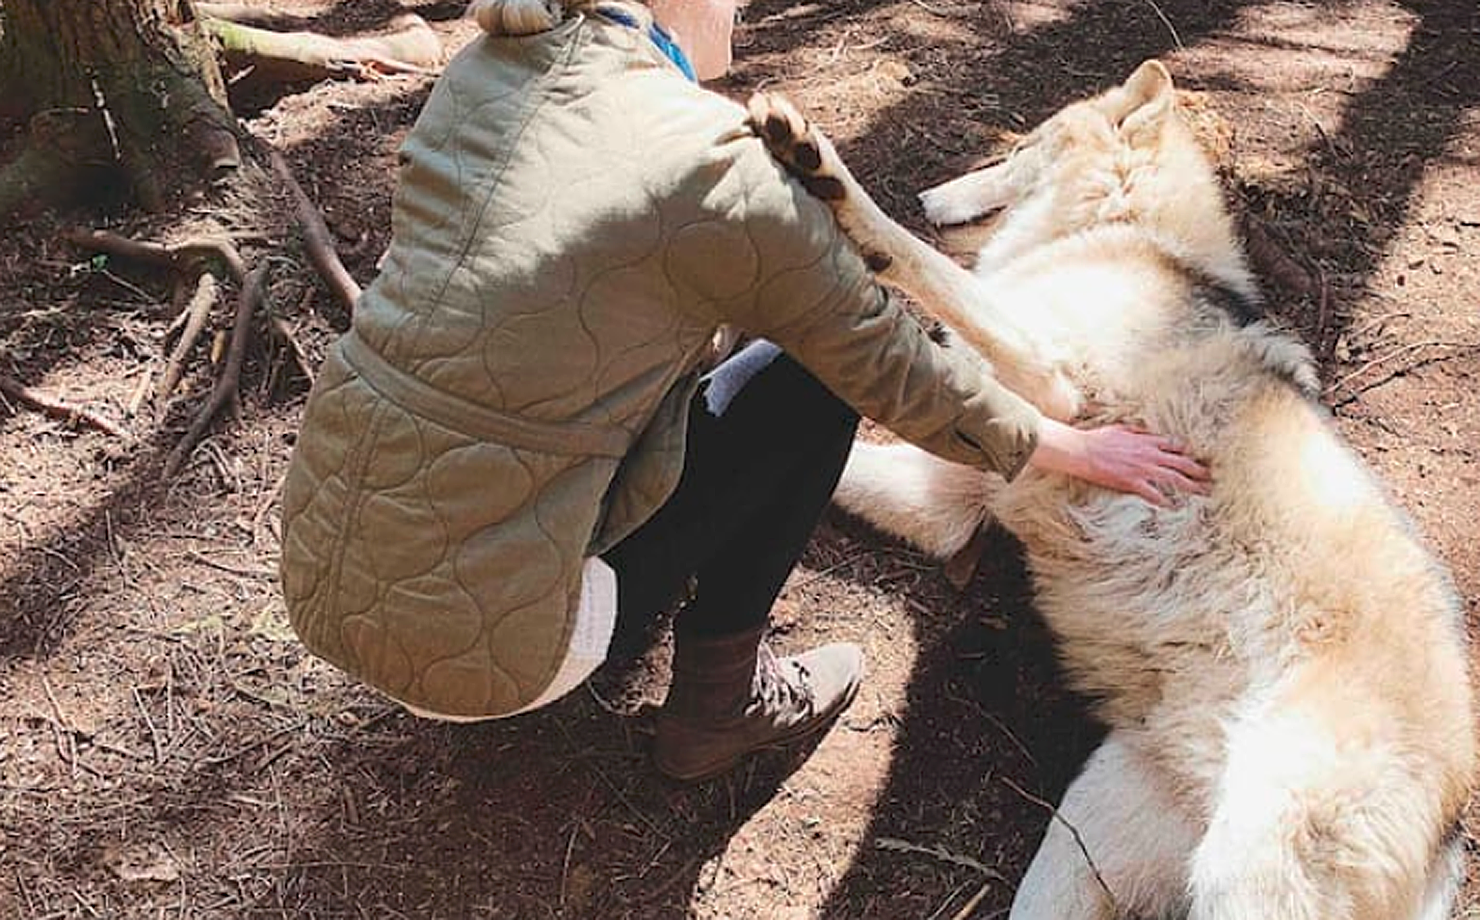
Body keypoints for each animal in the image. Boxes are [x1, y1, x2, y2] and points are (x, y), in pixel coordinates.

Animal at [751, 65, 1480, 920]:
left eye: (1025, 148)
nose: (928, 195)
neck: (1126, 231)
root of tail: (1454, 831)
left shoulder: (1053, 381)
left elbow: (916, 261)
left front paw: (818, 169)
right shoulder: (957, 499)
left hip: (1241, 876)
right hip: (1082, 846)